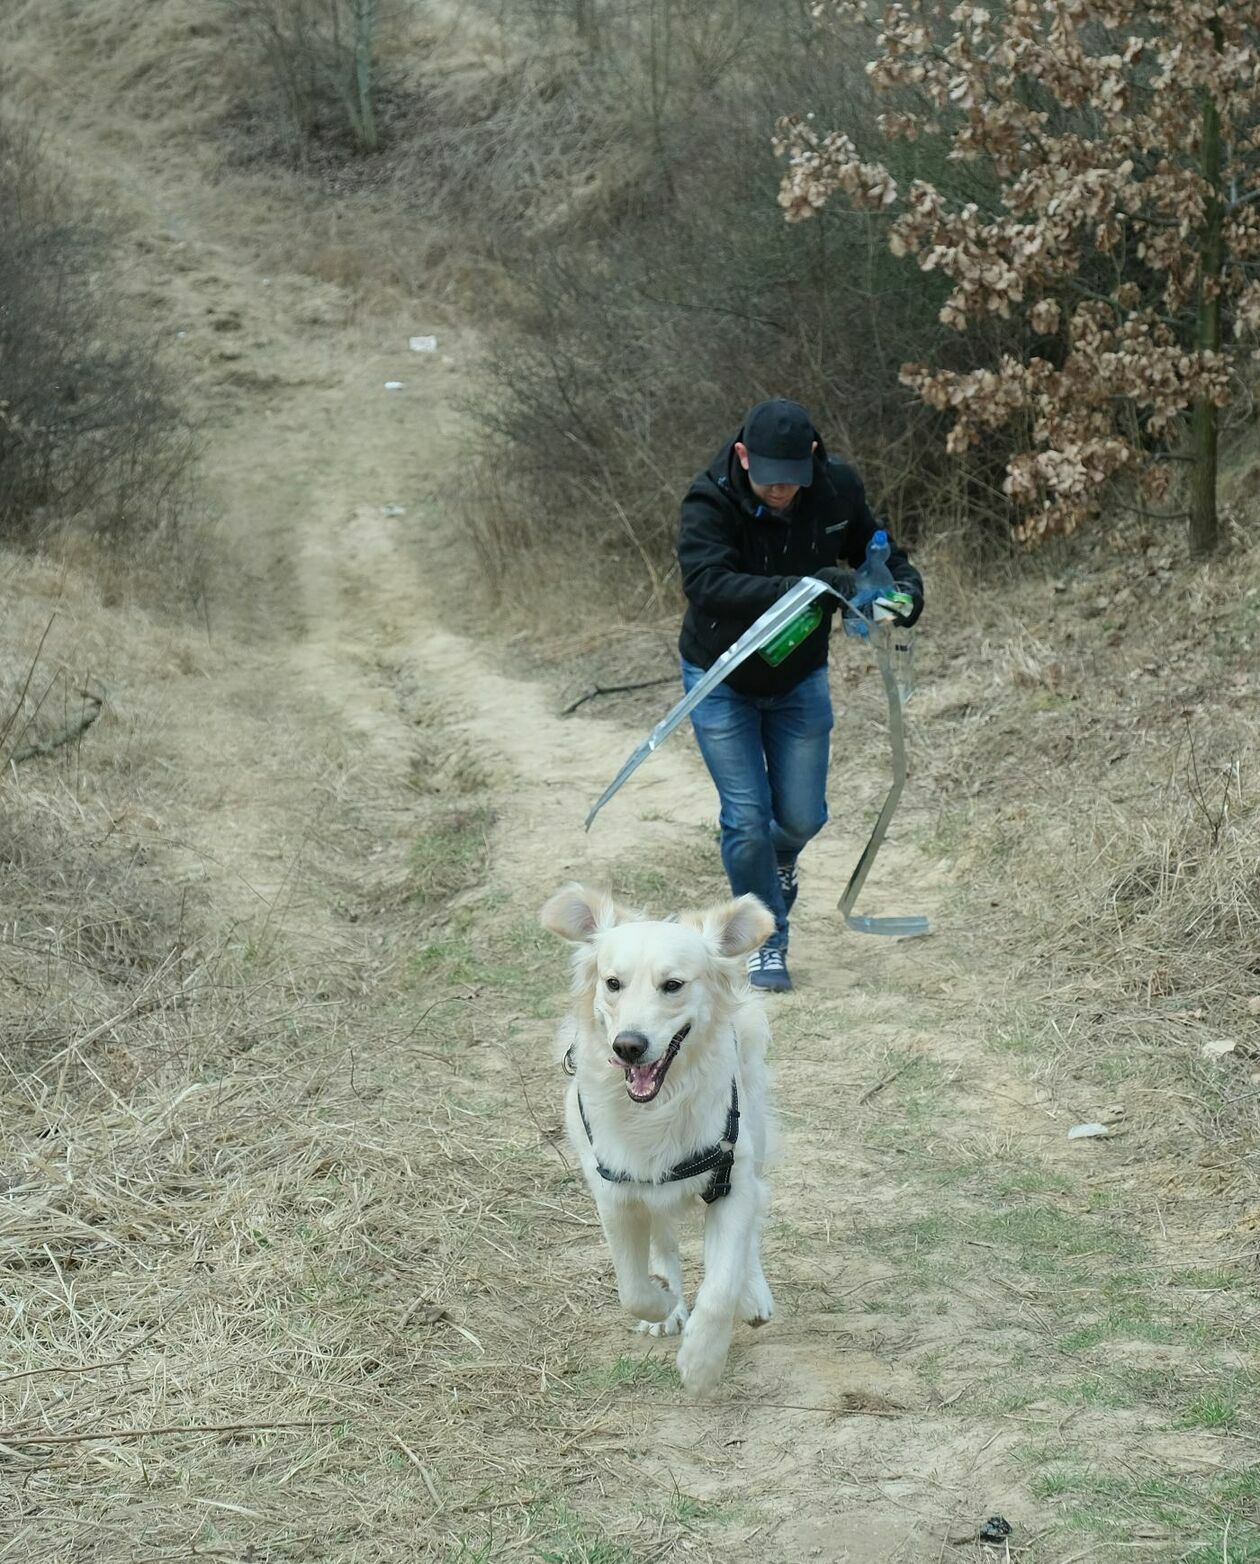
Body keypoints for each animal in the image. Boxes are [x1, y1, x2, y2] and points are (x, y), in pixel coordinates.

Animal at [544, 888, 778, 1401]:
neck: (659, 1106)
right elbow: (632, 1288)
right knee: (662, 1240)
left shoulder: (731, 1181)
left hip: (754, 1128)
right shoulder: (616, 1190)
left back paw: (753, 1293)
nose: (628, 1046)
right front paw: (665, 1304)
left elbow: (722, 1283)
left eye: (673, 985)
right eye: (612, 983)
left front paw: (703, 1363)